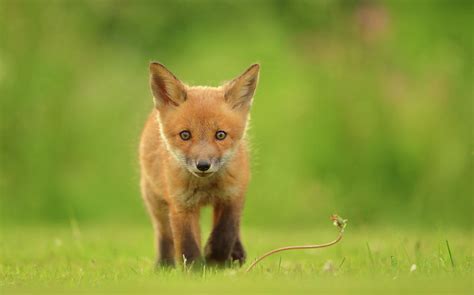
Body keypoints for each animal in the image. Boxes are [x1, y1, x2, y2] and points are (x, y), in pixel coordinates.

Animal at [139, 62, 262, 268]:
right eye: (185, 135)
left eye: (220, 135)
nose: (203, 165)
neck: (206, 187)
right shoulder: (181, 204)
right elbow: (187, 244)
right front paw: (195, 270)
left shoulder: (232, 196)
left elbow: (225, 233)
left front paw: (215, 259)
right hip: (155, 201)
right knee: (164, 234)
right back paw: (164, 265)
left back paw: (236, 254)